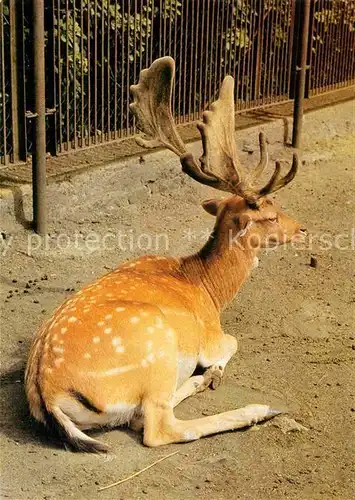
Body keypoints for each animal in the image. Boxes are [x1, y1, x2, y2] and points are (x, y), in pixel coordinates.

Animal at [25, 56, 306, 452]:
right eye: (270, 214)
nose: (301, 228)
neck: (209, 289)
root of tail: (46, 394)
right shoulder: (211, 335)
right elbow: (233, 342)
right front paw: (215, 372)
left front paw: (209, 377)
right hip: (156, 347)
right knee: (156, 427)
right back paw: (255, 407)